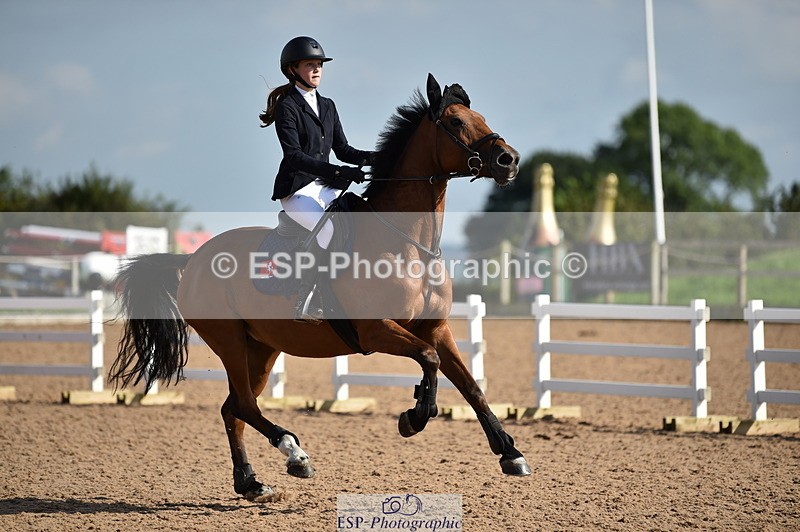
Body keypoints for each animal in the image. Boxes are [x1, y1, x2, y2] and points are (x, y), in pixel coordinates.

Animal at [109, 74, 530, 502]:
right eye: (457, 122)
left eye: (481, 117)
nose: (509, 160)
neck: (410, 245)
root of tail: (192, 259)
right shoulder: (376, 329)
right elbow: (429, 360)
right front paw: (414, 417)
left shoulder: (435, 328)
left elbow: (470, 386)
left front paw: (510, 453)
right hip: (228, 340)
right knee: (244, 405)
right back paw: (294, 454)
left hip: (261, 347)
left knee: (234, 408)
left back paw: (251, 482)